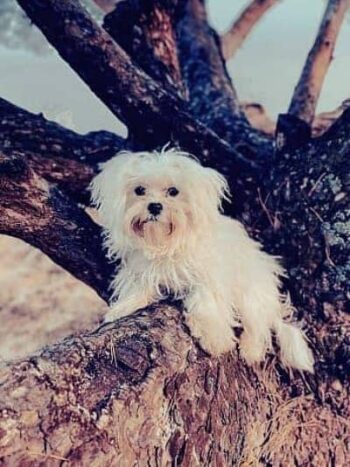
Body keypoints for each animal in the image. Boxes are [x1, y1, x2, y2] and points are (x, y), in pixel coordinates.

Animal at [90, 147, 314, 372]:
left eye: (173, 191)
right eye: (139, 190)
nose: (154, 206)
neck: (165, 243)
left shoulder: (209, 276)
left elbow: (206, 303)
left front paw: (214, 339)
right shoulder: (142, 270)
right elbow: (137, 289)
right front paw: (121, 309)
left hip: (251, 292)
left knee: (258, 326)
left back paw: (251, 350)